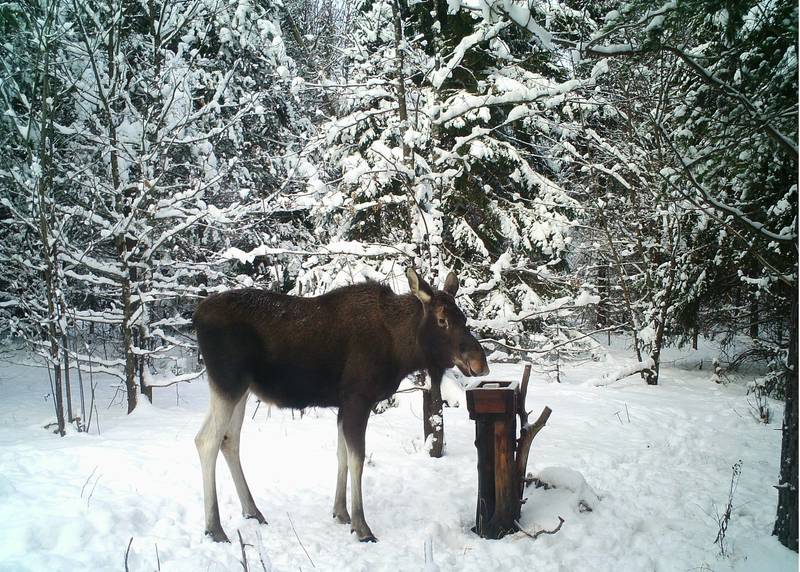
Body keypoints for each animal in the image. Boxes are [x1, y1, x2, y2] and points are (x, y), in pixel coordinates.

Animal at [195, 268, 490, 540]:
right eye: (442, 320)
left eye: (464, 318)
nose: (480, 363)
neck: (401, 349)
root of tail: (197, 315)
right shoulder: (358, 398)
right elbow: (357, 458)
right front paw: (361, 526)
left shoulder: (343, 404)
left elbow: (342, 456)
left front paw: (341, 512)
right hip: (228, 382)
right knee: (206, 440)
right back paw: (214, 527)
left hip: (241, 388)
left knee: (229, 439)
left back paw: (252, 511)